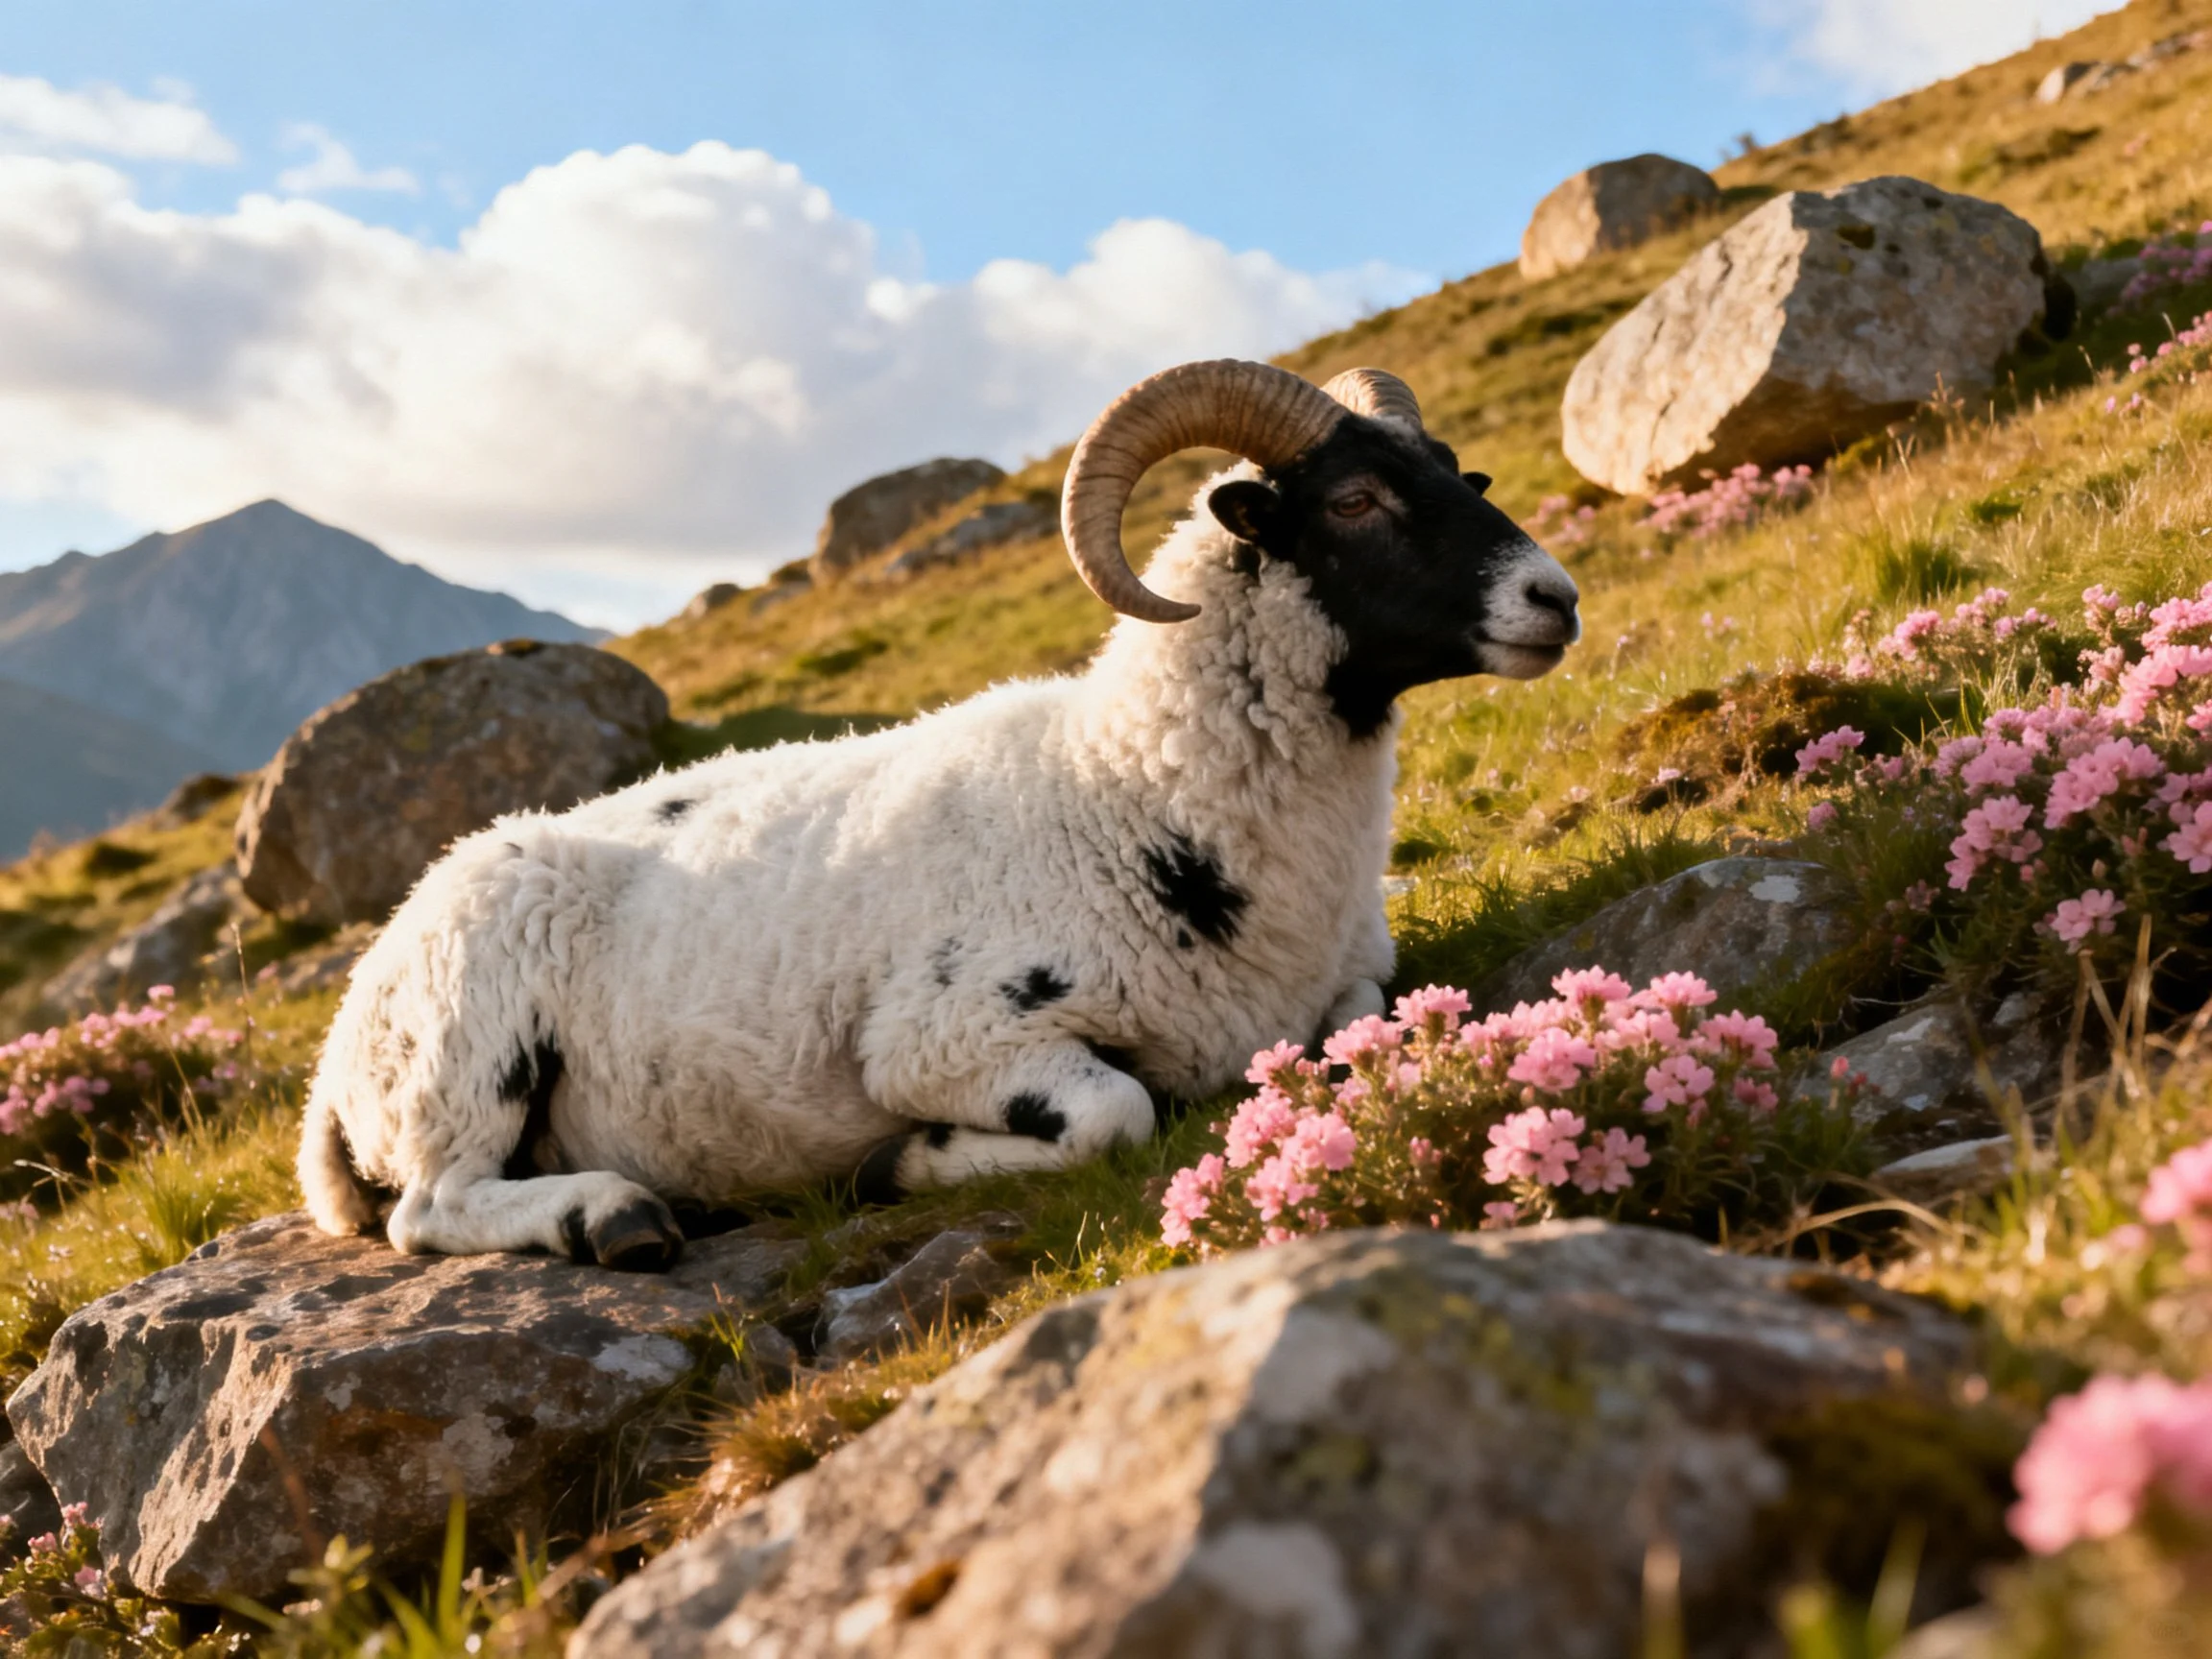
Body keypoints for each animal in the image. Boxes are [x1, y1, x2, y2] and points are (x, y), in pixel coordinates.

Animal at [299, 359, 1581, 1268]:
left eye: (1464, 478)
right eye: (1356, 500)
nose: (1555, 598)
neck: (1124, 787)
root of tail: (334, 1059)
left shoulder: (1344, 980)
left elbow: (1358, 1017)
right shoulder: (946, 1036)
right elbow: (1115, 1111)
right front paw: (905, 1166)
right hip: (466, 1046)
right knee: (431, 1207)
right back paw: (612, 1217)